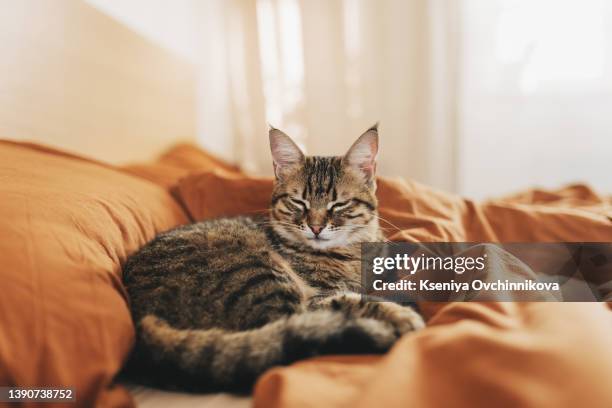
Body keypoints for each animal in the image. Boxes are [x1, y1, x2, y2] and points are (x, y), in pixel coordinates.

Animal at [122, 125, 424, 392]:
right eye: (298, 202)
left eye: (338, 204)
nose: (316, 227)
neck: (351, 252)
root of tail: (139, 328)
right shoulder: (319, 296)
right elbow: (355, 300)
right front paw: (402, 314)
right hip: (259, 272)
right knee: (294, 325)